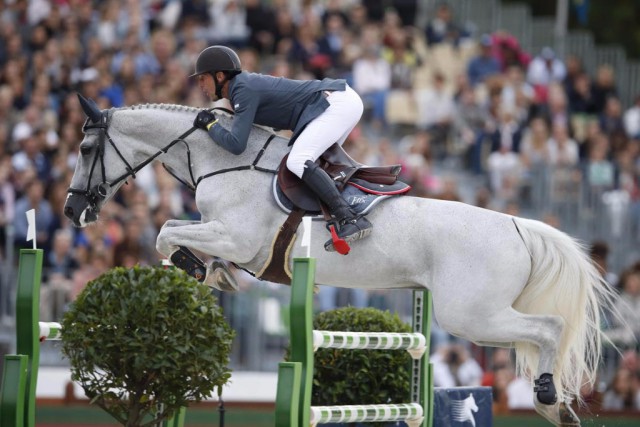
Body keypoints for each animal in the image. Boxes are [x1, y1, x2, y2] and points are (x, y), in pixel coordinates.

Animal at [66, 98, 620, 427]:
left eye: (87, 147)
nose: (73, 211)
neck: (222, 159)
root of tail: (518, 226)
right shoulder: (223, 233)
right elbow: (172, 232)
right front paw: (209, 271)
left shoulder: (236, 236)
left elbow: (165, 232)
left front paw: (198, 266)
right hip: (475, 316)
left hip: (471, 316)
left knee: (549, 328)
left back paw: (548, 397)